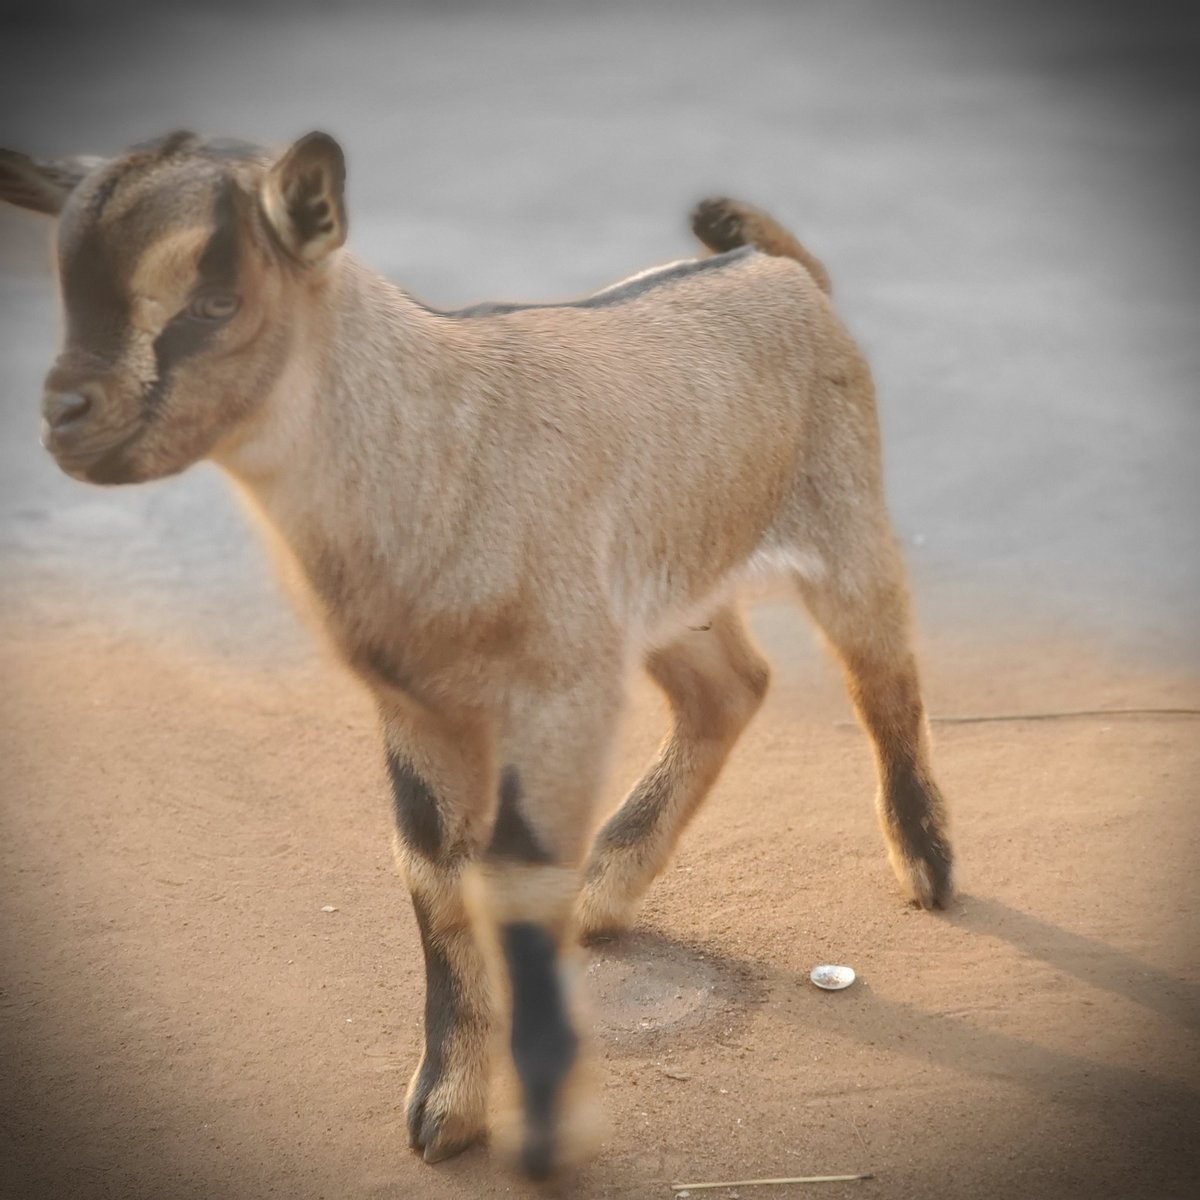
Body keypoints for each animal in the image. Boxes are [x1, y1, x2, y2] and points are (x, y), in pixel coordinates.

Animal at [0, 130, 953, 1179]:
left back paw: (927, 870)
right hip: (668, 583)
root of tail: (777, 266)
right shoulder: (417, 701)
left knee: (881, 675)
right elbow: (432, 871)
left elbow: (515, 874)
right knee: (731, 688)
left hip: (842, 519)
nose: (64, 418)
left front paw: (541, 1123)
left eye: (215, 302)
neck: (432, 446)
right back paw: (609, 887)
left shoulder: (558, 691)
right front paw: (447, 1110)